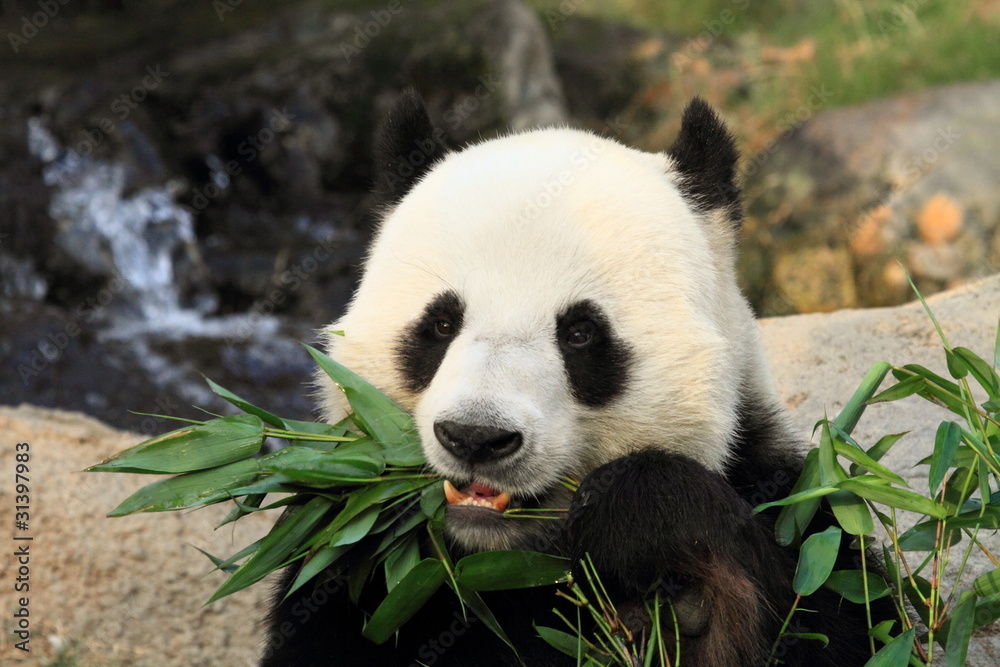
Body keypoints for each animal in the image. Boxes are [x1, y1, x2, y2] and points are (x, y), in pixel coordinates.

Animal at [260, 90, 882, 666]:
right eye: (440, 323)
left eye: (581, 333)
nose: (476, 437)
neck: (504, 557)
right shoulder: (356, 560)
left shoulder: (788, 503)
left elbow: (830, 618)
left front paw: (646, 532)